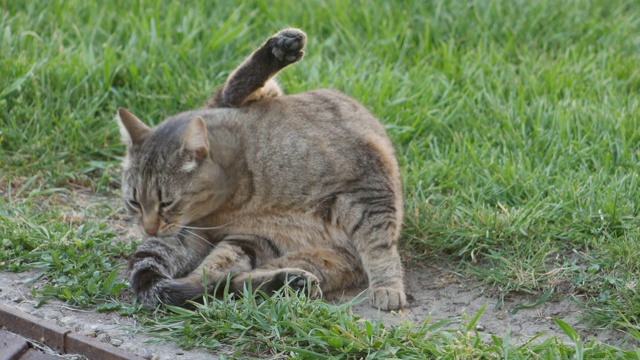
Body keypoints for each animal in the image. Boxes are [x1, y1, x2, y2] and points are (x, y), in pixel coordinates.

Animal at [116, 27, 404, 310]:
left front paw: (387, 286)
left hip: (308, 254)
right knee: (208, 284)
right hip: (256, 242)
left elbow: (378, 245)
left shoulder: (368, 185)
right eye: (134, 203)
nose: (149, 230)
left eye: (167, 203)